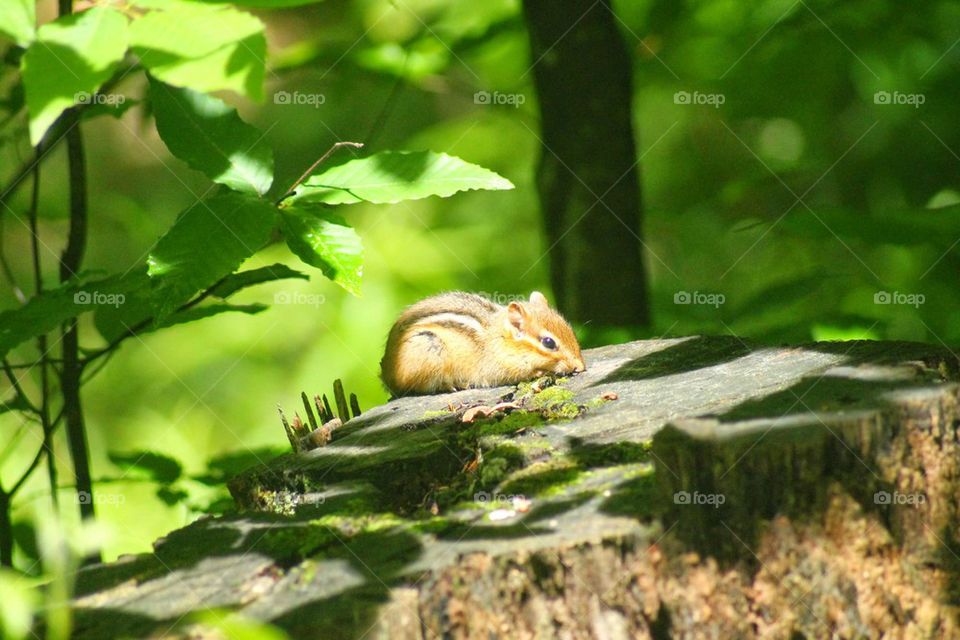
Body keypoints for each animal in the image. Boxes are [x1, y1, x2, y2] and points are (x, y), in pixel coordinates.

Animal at [380, 291, 585, 396]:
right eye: (549, 342)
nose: (580, 366)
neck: (500, 338)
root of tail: (386, 374)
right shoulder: (501, 368)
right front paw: (542, 372)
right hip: (428, 347)